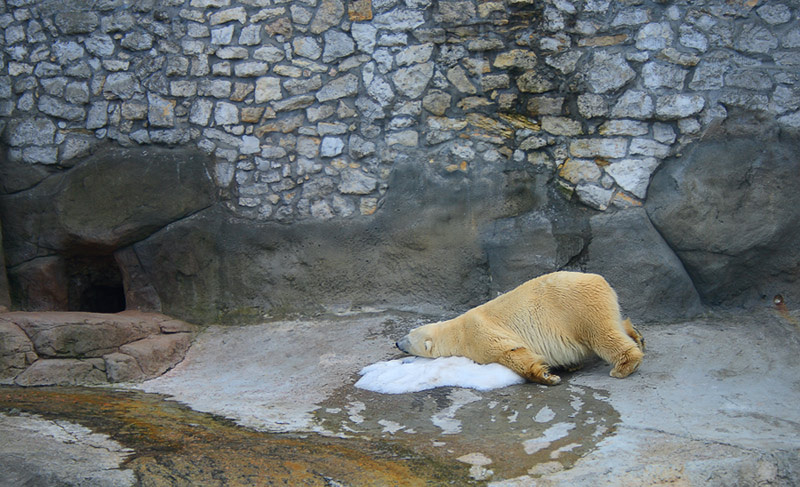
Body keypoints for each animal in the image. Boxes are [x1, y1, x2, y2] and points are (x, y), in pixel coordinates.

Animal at [396, 271, 644, 385]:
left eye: (408, 338)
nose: (397, 342)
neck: (456, 332)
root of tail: (600, 280)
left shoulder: (480, 334)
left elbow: (511, 352)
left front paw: (546, 376)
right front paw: (568, 366)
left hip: (578, 309)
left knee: (602, 335)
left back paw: (623, 366)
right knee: (614, 323)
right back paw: (637, 336)